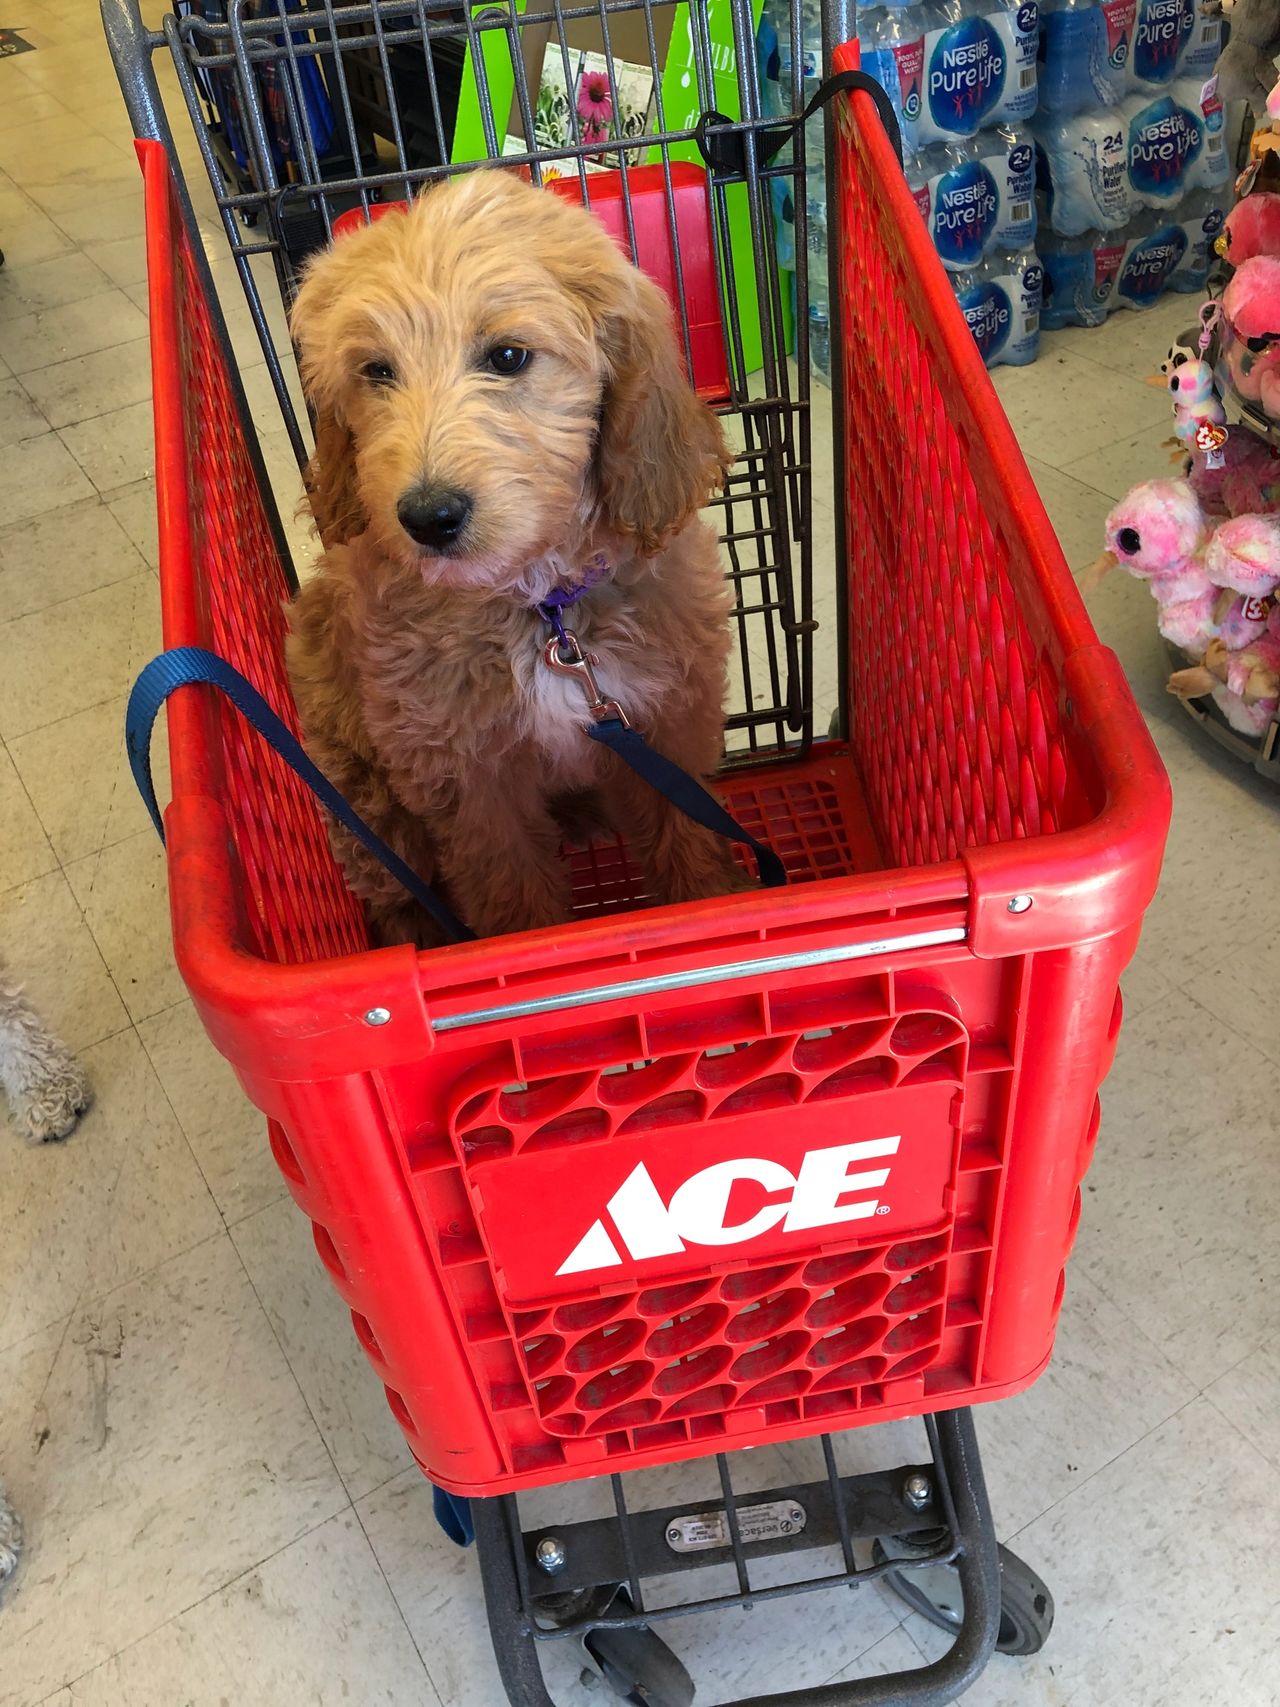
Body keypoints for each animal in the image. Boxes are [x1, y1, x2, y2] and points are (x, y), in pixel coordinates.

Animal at [285, 169, 737, 949]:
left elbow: (685, 843)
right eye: (376, 370)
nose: (428, 517)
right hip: (362, 799)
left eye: (507, 356)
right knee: (396, 890)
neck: (542, 608)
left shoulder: (665, 724)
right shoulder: (468, 784)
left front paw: (704, 913)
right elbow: (512, 896)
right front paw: (526, 949)